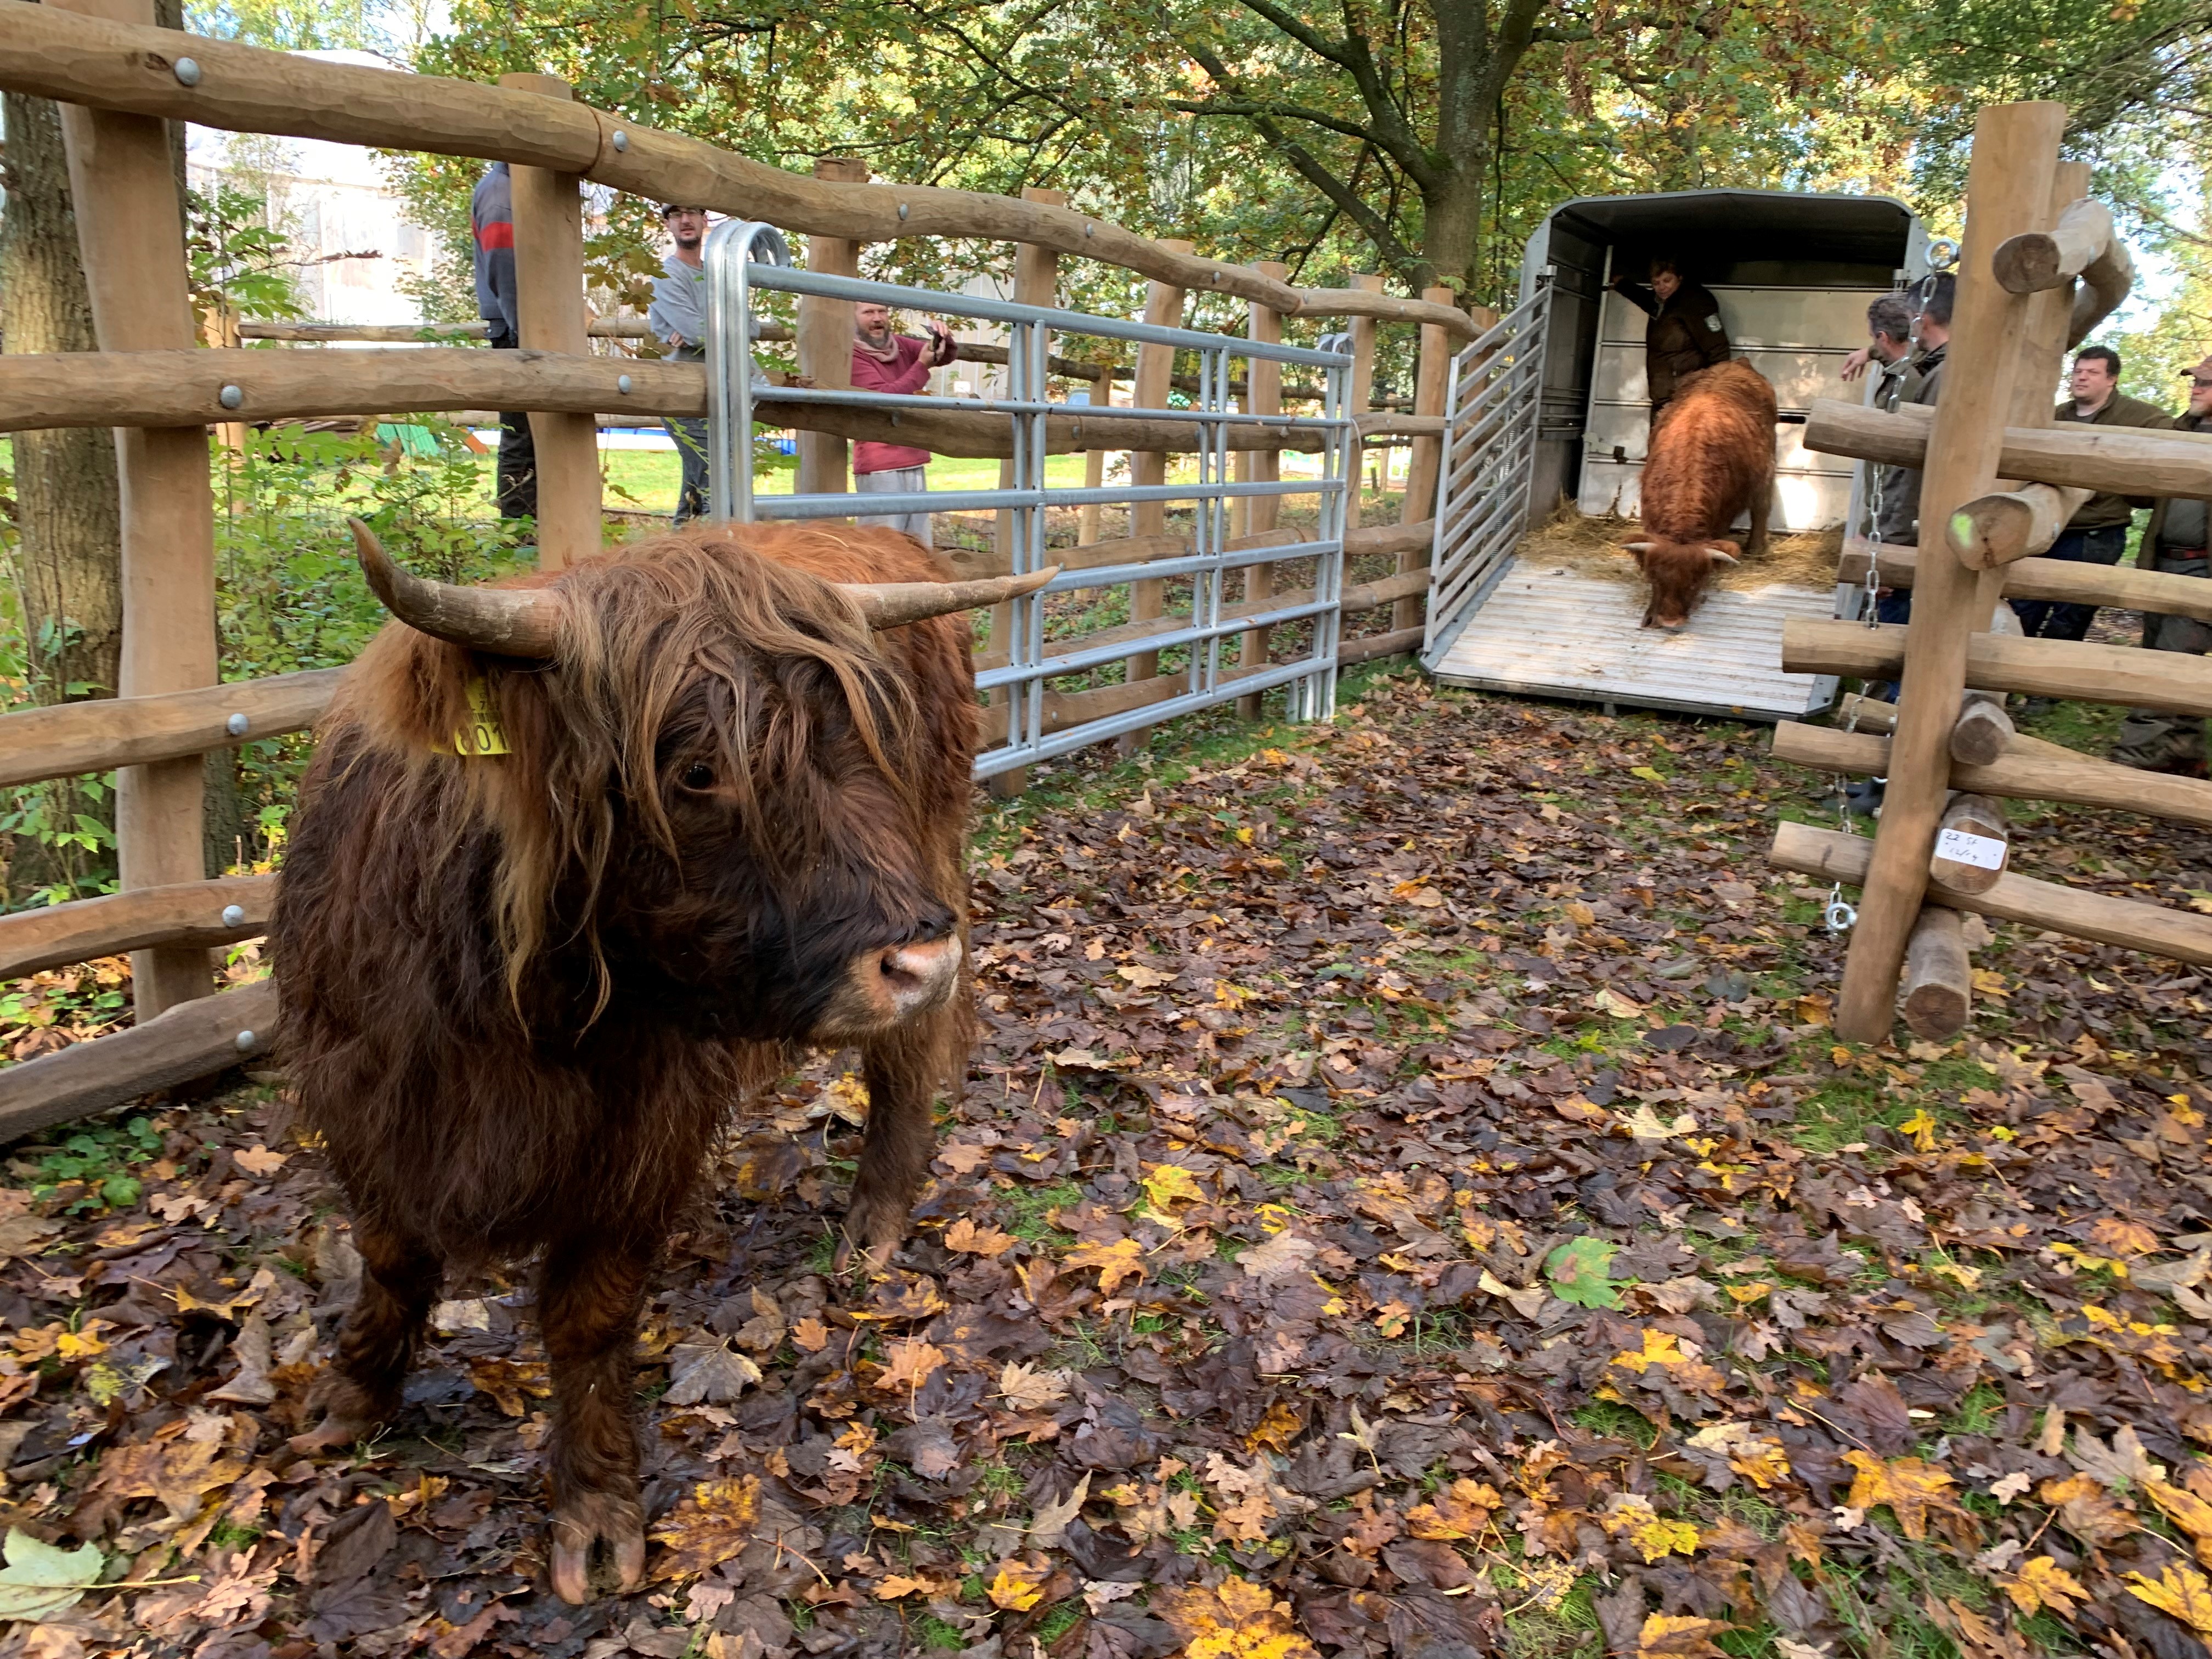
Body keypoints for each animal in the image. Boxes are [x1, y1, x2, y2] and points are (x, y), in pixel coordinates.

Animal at [267, 522, 1044, 1610]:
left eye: (869, 744)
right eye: (699, 770)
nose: (920, 960)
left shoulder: (640, 1124)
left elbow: (588, 1316)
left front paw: (595, 1506)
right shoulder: (365, 1090)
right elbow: (390, 1252)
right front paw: (354, 1390)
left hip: (934, 859)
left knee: (905, 1059)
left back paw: (875, 1222)